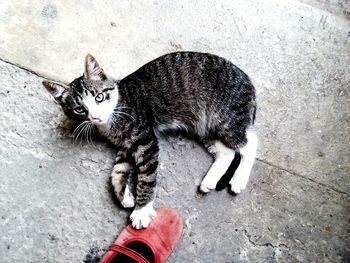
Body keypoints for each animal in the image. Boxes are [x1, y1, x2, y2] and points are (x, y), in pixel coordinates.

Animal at [43, 52, 258, 230]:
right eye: (79, 109)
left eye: (99, 97)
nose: (96, 117)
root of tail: (248, 81)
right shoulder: (126, 145)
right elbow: (116, 171)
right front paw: (125, 197)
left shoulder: (145, 139)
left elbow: (146, 176)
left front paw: (141, 210)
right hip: (205, 126)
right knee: (227, 151)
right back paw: (210, 180)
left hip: (224, 118)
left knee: (250, 143)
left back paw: (239, 179)